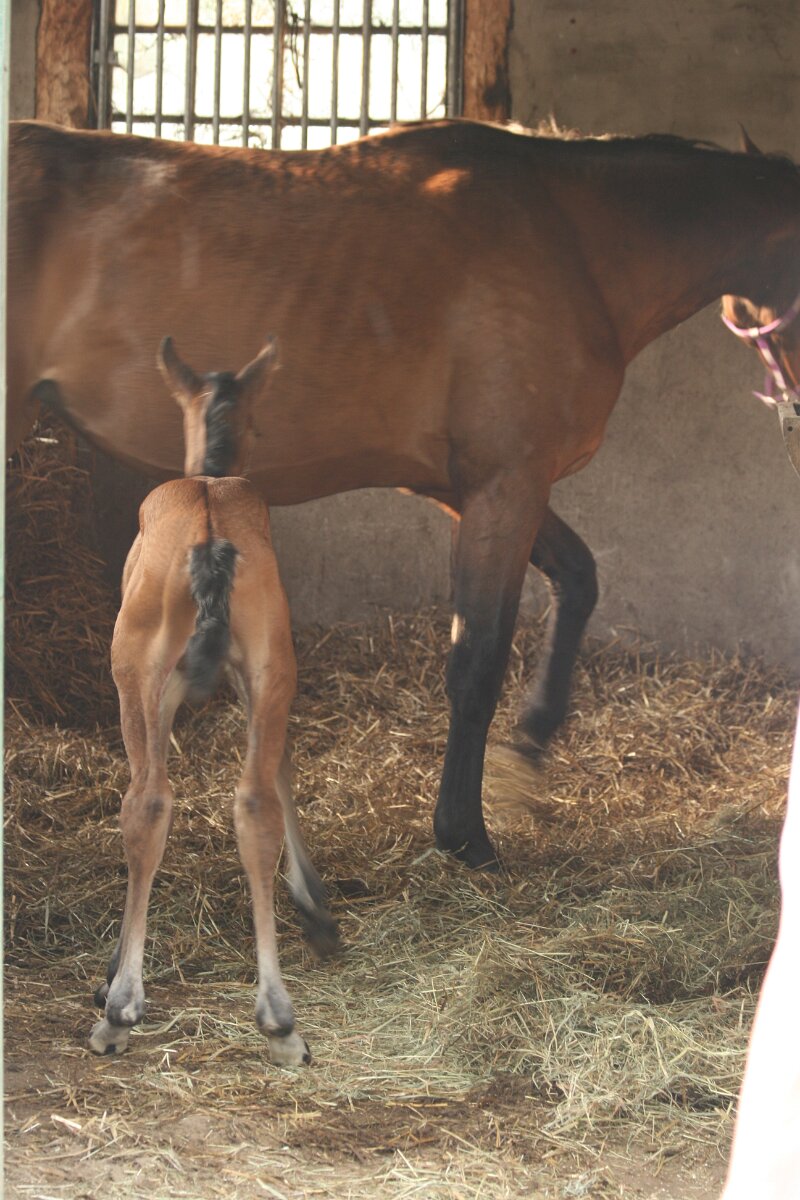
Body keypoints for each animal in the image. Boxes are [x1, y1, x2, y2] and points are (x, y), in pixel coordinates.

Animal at [8, 118, 800, 869]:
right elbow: (477, 658)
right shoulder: (506, 485)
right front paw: (466, 835)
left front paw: (531, 745)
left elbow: (577, 580)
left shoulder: (475, 487)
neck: (570, 238)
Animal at [89, 337, 338, 1067]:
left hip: (135, 666)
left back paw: (120, 1011)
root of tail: (208, 528)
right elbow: (279, 770)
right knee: (253, 801)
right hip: (272, 657)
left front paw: (112, 973)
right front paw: (318, 913)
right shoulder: (259, 675)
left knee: (146, 802)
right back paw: (281, 1020)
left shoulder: (159, 684)